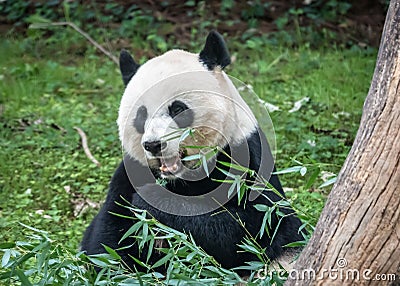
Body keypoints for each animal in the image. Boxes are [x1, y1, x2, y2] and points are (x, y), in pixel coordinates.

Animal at [81, 31, 304, 272]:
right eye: (141, 115)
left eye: (177, 109)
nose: (154, 145)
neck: (181, 179)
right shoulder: (131, 171)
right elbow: (106, 238)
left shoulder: (246, 157)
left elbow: (257, 227)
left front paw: (151, 200)